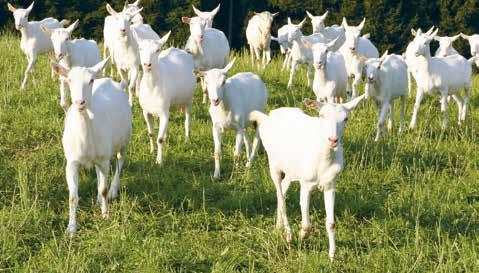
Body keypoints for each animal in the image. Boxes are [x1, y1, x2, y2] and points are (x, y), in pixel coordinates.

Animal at [50, 58, 132, 236]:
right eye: (69, 80)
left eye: (91, 80)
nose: (79, 102)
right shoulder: (71, 162)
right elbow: (73, 196)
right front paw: (71, 229)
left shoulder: (104, 159)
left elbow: (104, 188)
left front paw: (105, 215)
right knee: (98, 172)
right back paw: (98, 200)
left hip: (124, 139)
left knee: (120, 161)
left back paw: (112, 191)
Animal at [135, 31, 197, 164]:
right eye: (140, 48)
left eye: (157, 50)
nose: (147, 65)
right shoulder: (146, 111)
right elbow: (151, 133)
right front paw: (151, 151)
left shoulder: (163, 111)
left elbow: (160, 139)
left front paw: (159, 161)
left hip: (189, 99)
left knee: (187, 119)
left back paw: (187, 139)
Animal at [249, 95, 366, 260]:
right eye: (321, 115)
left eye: (346, 118)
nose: (332, 140)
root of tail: (268, 116)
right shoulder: (306, 183)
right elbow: (306, 223)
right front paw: (302, 235)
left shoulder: (330, 184)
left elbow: (331, 223)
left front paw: (332, 255)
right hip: (273, 164)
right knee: (280, 196)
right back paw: (288, 235)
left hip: (291, 170)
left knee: (282, 190)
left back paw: (278, 227)